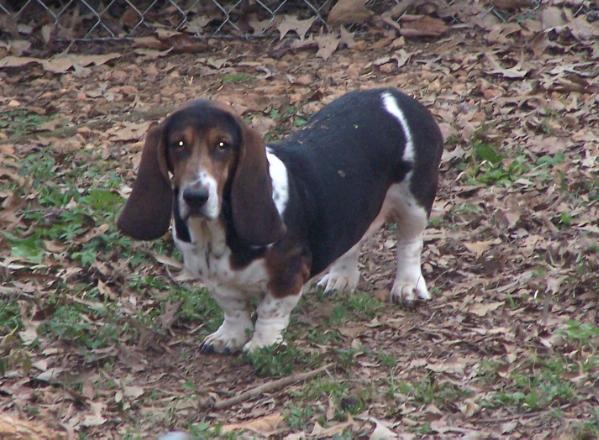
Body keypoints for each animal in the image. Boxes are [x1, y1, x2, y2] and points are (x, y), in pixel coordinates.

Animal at [118, 87, 446, 352]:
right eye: (178, 144)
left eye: (223, 145)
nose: (195, 196)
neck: (218, 232)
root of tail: (399, 98)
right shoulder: (217, 280)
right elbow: (233, 309)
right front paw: (228, 337)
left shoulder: (288, 275)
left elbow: (270, 311)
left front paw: (261, 345)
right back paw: (340, 277)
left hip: (414, 203)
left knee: (410, 244)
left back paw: (407, 286)